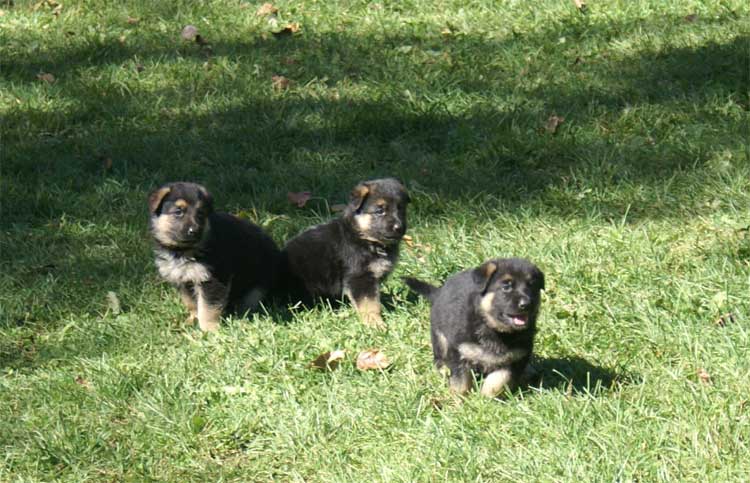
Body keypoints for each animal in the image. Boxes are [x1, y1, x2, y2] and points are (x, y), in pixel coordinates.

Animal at [148, 182, 280, 332]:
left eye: (200, 213)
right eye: (178, 211)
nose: (194, 231)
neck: (183, 250)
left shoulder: (212, 280)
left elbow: (207, 308)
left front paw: (209, 330)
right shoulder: (184, 279)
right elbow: (191, 302)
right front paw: (192, 319)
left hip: (257, 288)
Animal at [282, 178, 412, 328]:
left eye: (401, 209)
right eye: (380, 210)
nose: (399, 228)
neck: (363, 237)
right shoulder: (360, 277)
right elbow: (369, 303)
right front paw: (374, 322)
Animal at [406, 260, 548, 398]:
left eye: (532, 286)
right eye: (506, 287)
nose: (526, 304)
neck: (495, 330)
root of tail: (439, 292)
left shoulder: (515, 359)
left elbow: (499, 379)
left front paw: (486, 396)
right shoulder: (459, 351)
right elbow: (460, 381)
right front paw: (460, 399)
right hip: (439, 336)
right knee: (439, 356)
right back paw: (443, 369)